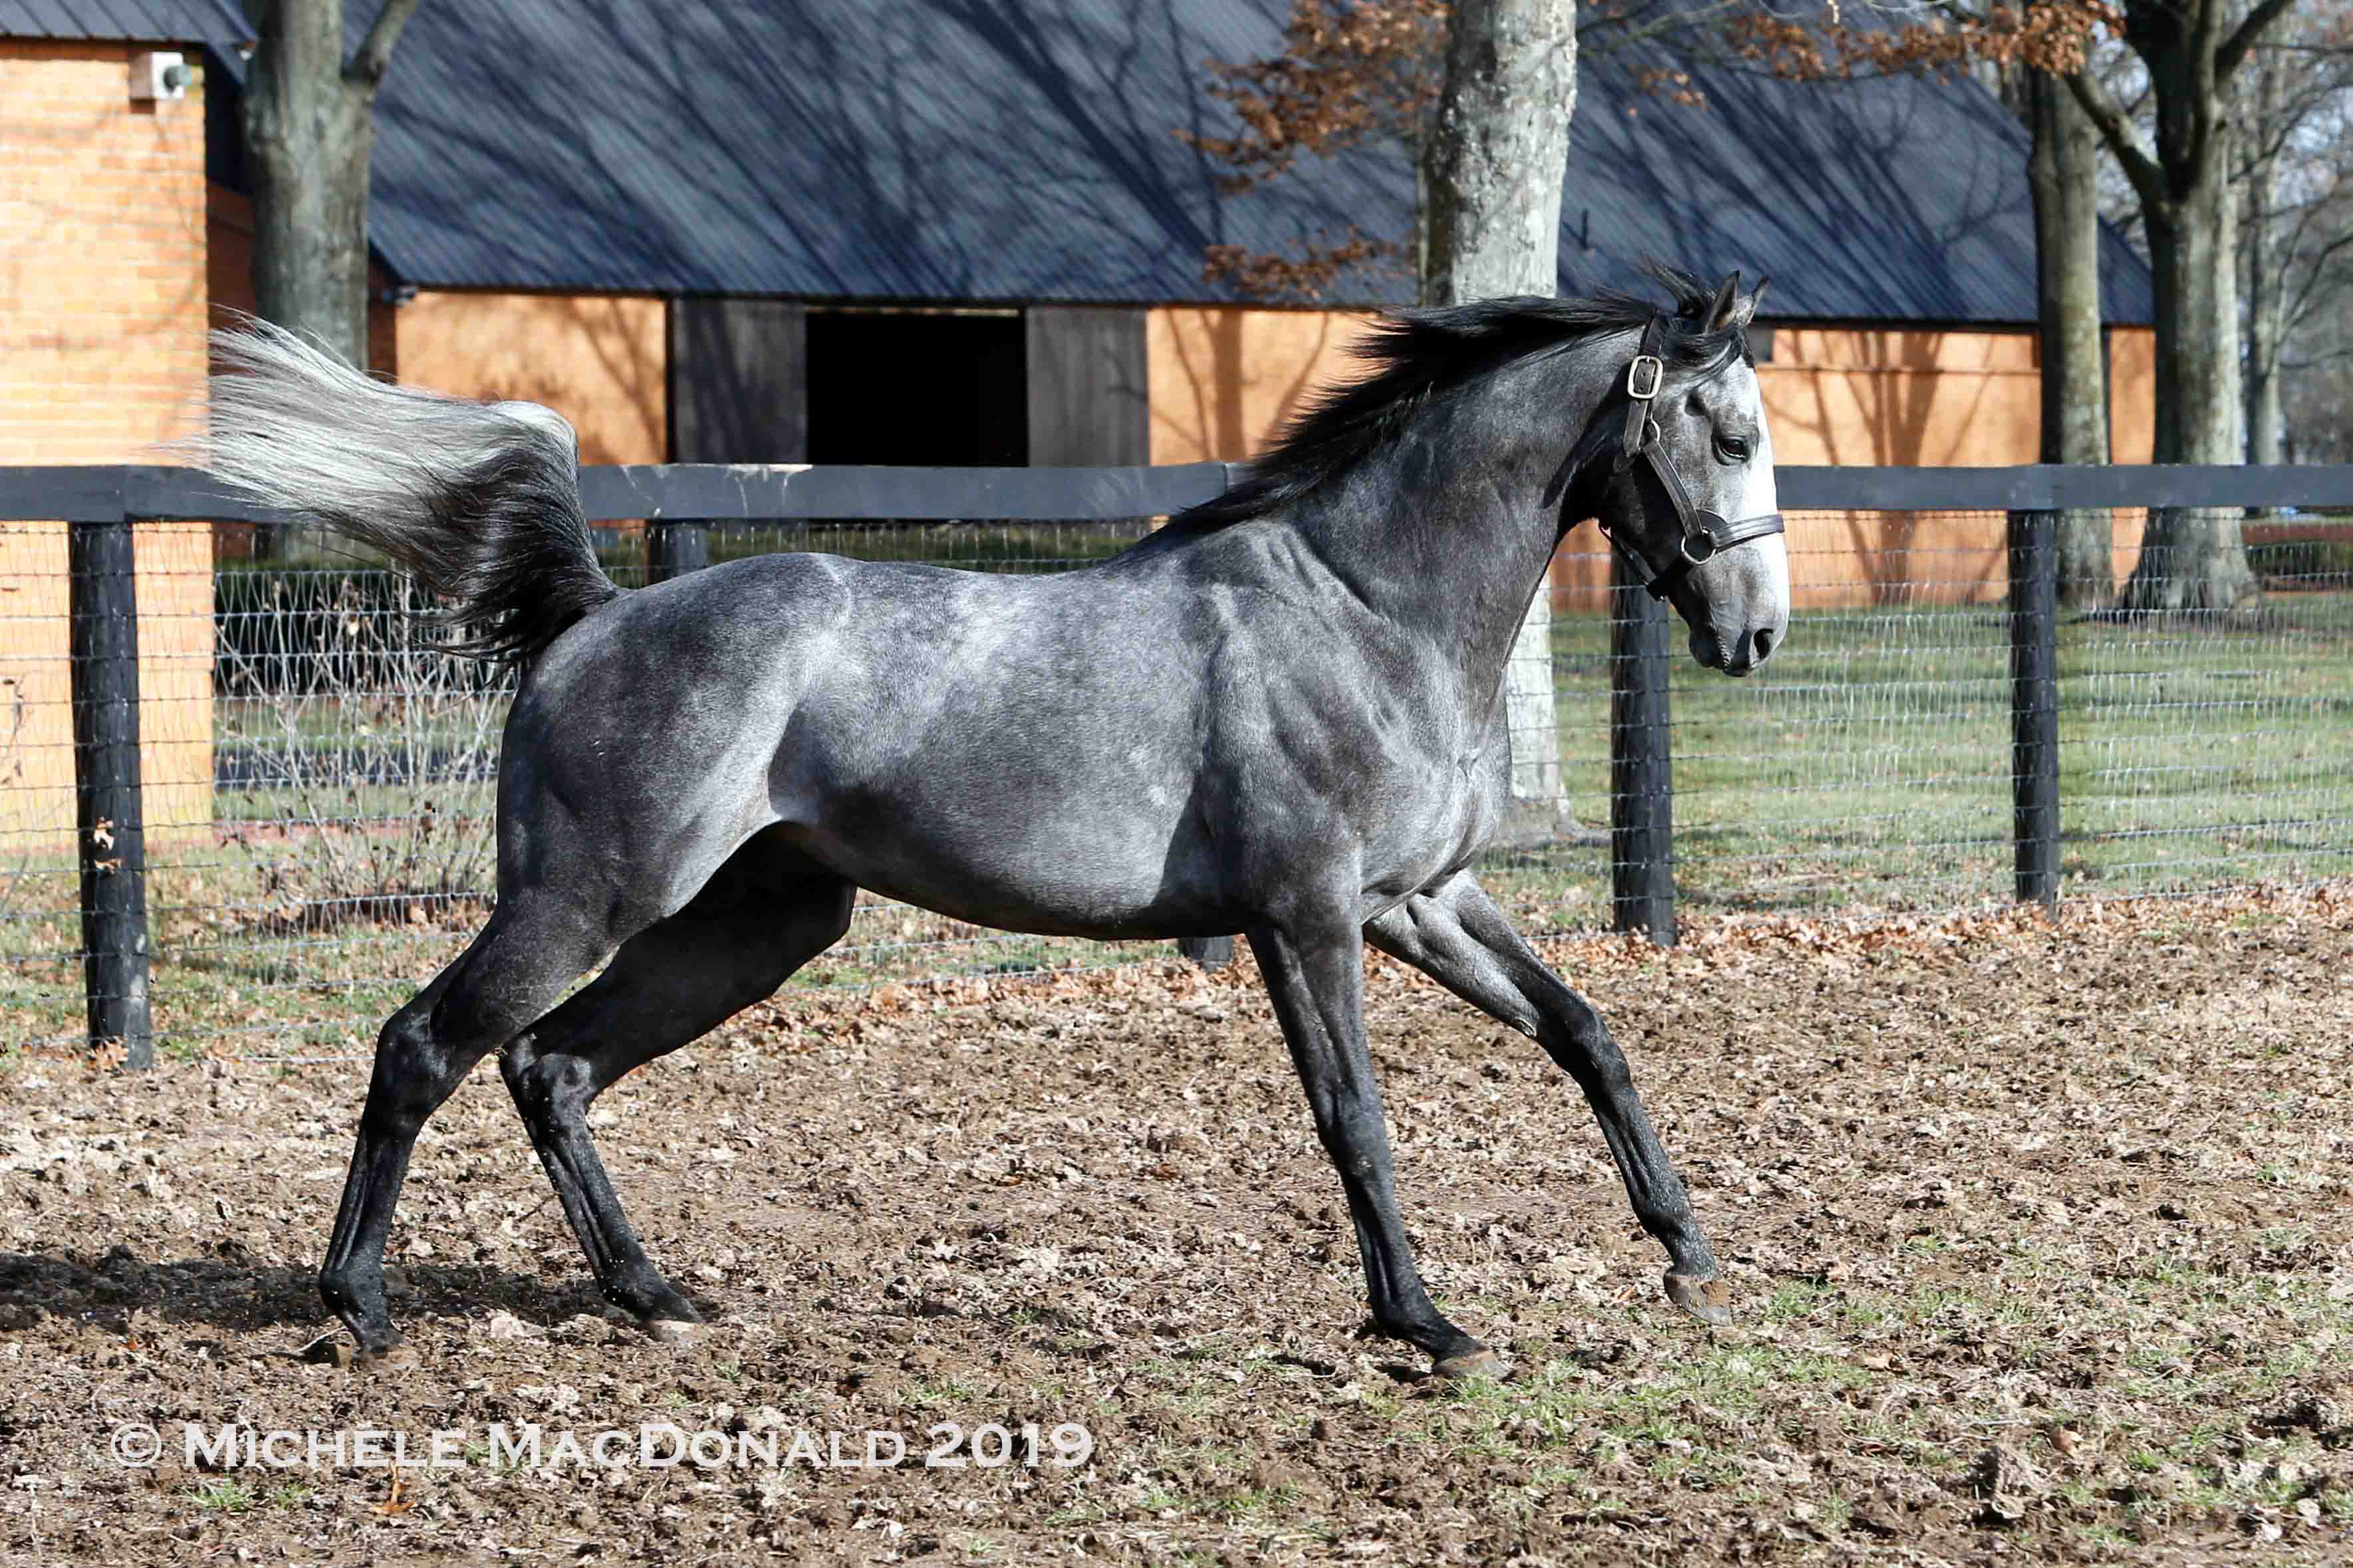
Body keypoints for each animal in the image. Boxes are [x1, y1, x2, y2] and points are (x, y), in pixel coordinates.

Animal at [207, 270, 1779, 1373]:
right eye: (1725, 433)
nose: (1752, 634)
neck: (1361, 608)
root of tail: (594, 615)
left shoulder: (1420, 900)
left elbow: (1586, 1035)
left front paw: (1687, 1256)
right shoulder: (1307, 916)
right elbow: (1354, 1117)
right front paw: (1423, 1325)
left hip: (752, 925)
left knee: (553, 1065)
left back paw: (656, 1296)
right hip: (587, 899)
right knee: (428, 1045)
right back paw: (357, 1307)